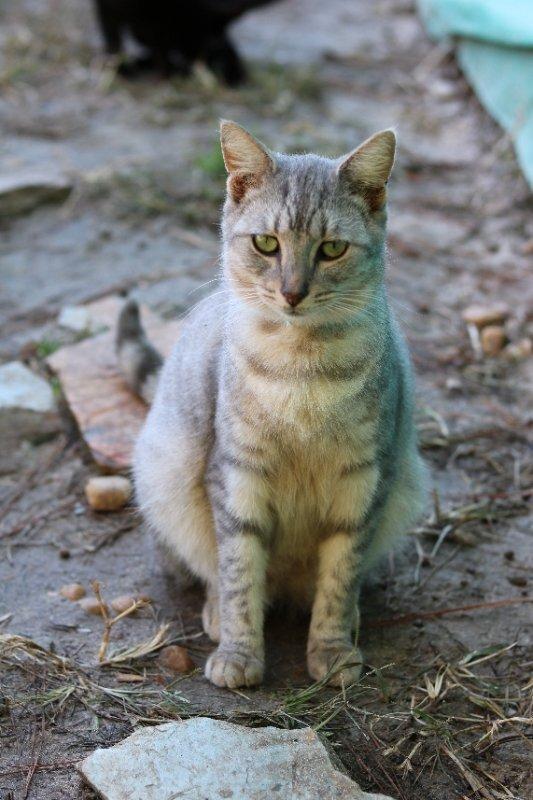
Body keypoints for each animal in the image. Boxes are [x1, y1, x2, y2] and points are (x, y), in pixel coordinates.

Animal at [117, 122, 428, 692]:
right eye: (266, 243)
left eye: (332, 249)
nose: (292, 292)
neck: (301, 369)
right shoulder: (236, 474)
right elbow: (240, 573)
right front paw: (239, 653)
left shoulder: (364, 481)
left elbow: (339, 579)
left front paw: (332, 651)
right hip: (164, 476)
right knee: (207, 568)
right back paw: (218, 614)